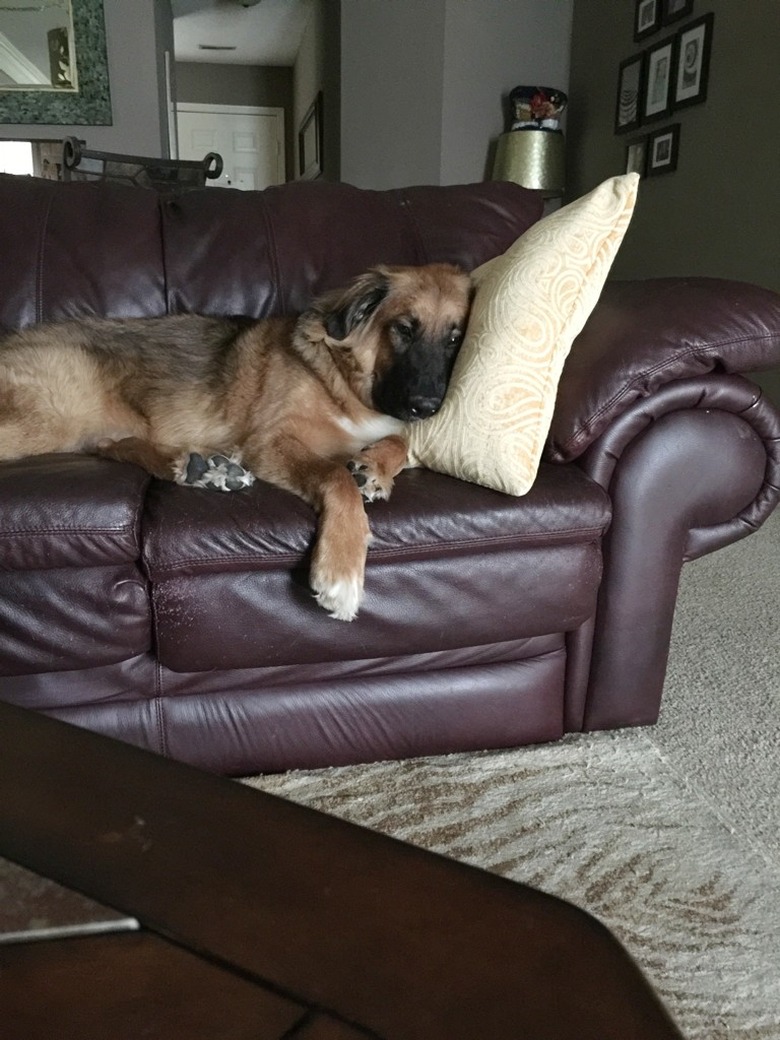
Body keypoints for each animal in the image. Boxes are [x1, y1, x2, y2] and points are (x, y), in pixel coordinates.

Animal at [0, 264, 474, 619]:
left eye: (456, 339)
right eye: (404, 329)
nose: (428, 406)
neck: (347, 381)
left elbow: (398, 443)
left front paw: (373, 466)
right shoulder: (273, 442)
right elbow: (335, 478)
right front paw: (340, 570)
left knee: (113, 444)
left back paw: (200, 467)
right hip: (48, 415)